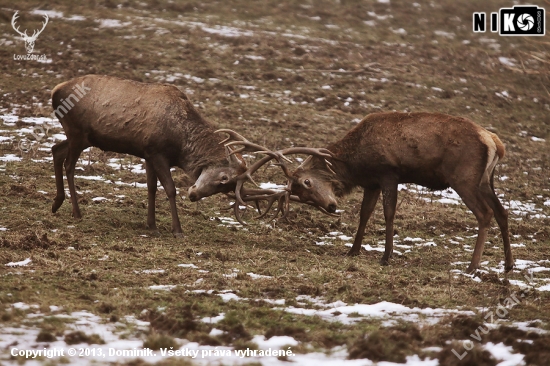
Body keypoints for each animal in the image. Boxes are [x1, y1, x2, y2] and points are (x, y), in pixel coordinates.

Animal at [51, 74, 252, 236]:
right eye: (224, 178)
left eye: (226, 188)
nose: (193, 195)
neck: (181, 146)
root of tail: (55, 90)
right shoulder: (157, 152)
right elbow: (170, 189)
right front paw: (177, 230)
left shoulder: (148, 154)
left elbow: (151, 187)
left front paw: (152, 226)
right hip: (76, 132)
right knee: (69, 165)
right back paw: (76, 212)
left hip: (83, 137)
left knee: (56, 149)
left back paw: (57, 203)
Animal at [222, 111, 516, 274]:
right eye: (304, 197)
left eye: (306, 182)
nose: (331, 207)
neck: (356, 163)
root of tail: (495, 143)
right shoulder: (372, 183)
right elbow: (364, 214)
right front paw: (353, 251)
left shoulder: (388, 174)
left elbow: (388, 214)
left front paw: (386, 256)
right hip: (485, 180)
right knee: (502, 212)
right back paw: (508, 265)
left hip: (464, 178)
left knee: (485, 213)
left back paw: (473, 266)